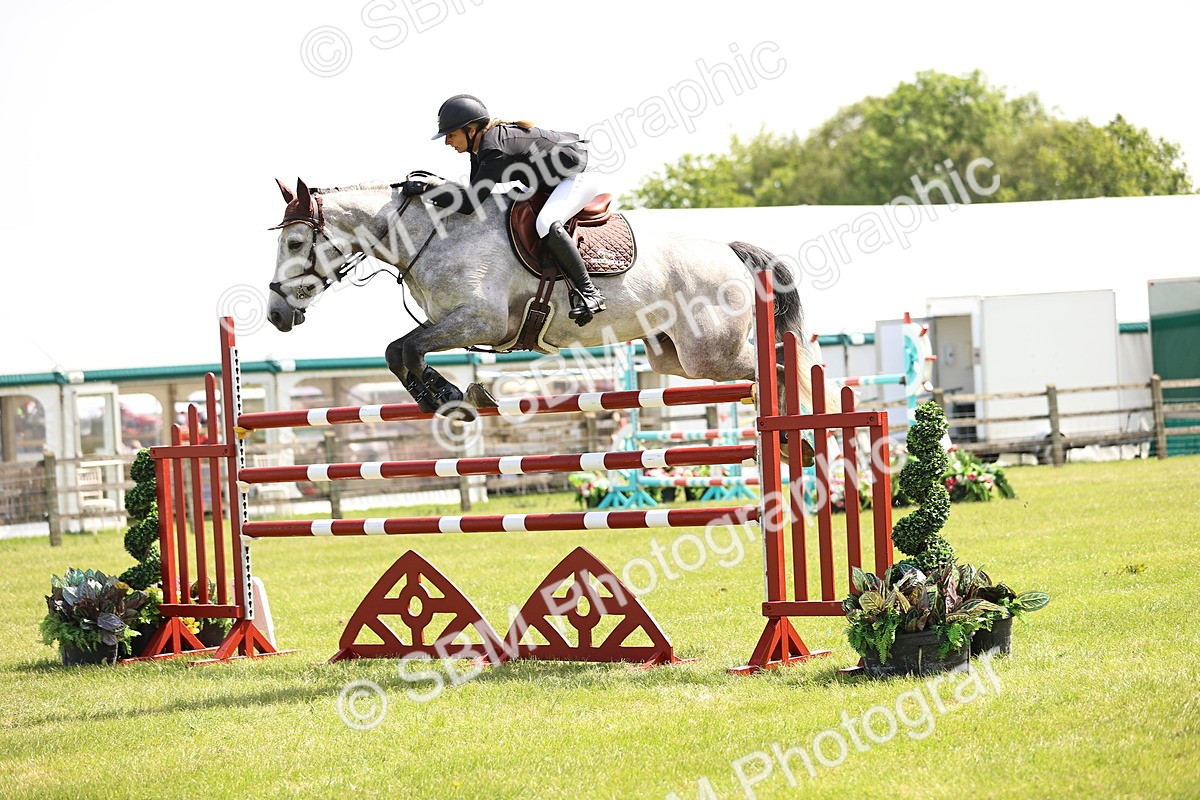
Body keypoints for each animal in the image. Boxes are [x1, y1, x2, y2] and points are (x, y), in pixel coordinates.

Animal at [265, 177, 835, 434]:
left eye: (294, 243)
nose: (276, 315)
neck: (430, 235)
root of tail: (731, 253)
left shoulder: (480, 321)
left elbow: (401, 348)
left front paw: (448, 397)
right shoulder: (452, 322)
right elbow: (401, 351)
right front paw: (453, 395)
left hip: (710, 352)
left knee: (779, 364)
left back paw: (802, 435)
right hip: (671, 354)